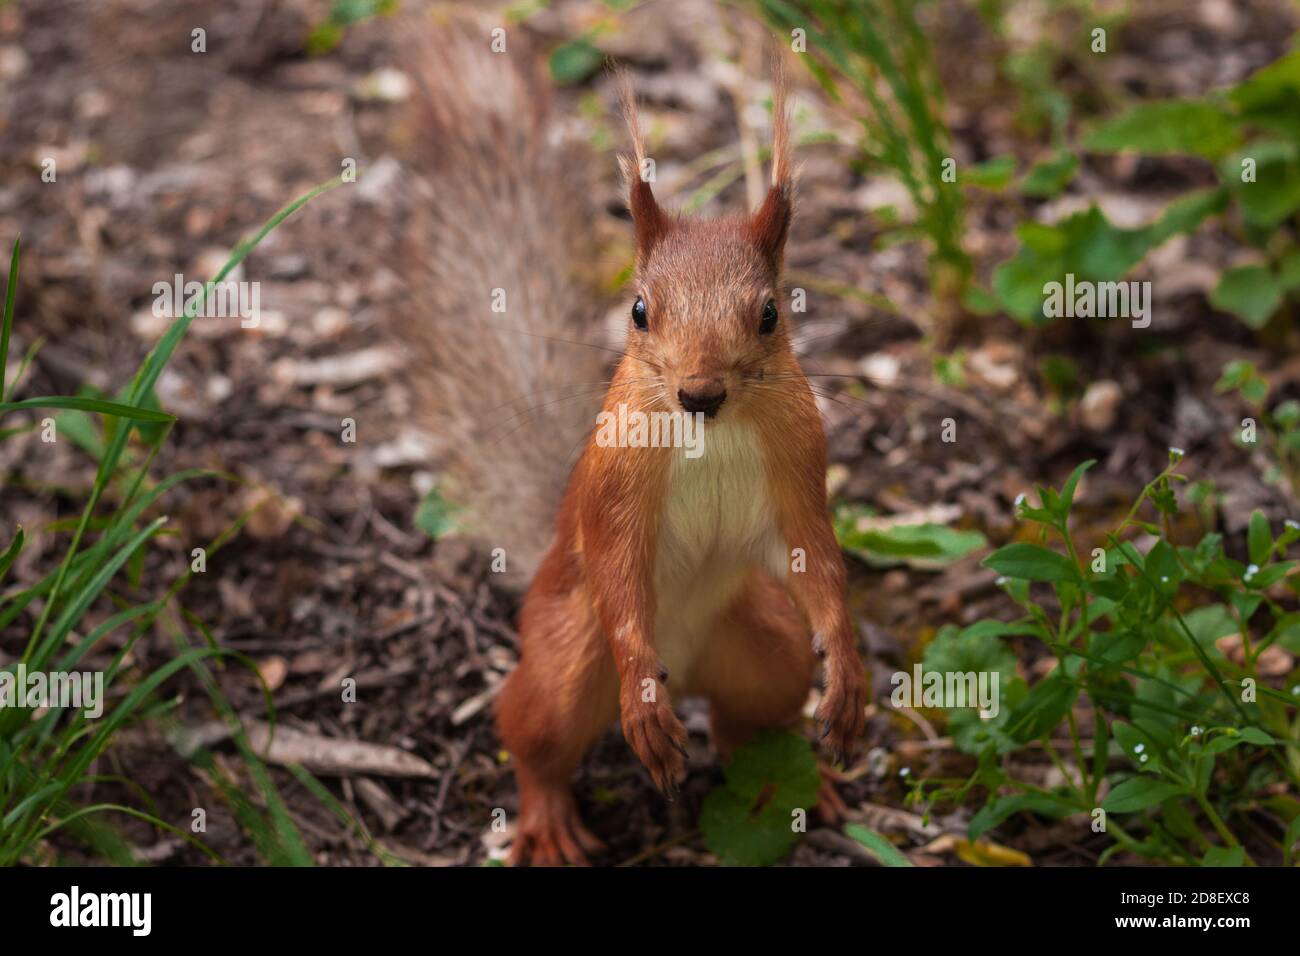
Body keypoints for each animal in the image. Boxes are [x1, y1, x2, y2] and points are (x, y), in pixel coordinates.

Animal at [390, 13, 868, 868]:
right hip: (567, 658)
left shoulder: (799, 467)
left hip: (766, 645)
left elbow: (815, 559)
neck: (711, 434)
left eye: (771, 313)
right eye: (640, 311)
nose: (700, 393)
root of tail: (693, 662)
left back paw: (803, 782)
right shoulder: (615, 488)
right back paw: (552, 816)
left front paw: (846, 671)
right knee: (534, 736)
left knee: (751, 722)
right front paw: (643, 696)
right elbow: (617, 569)